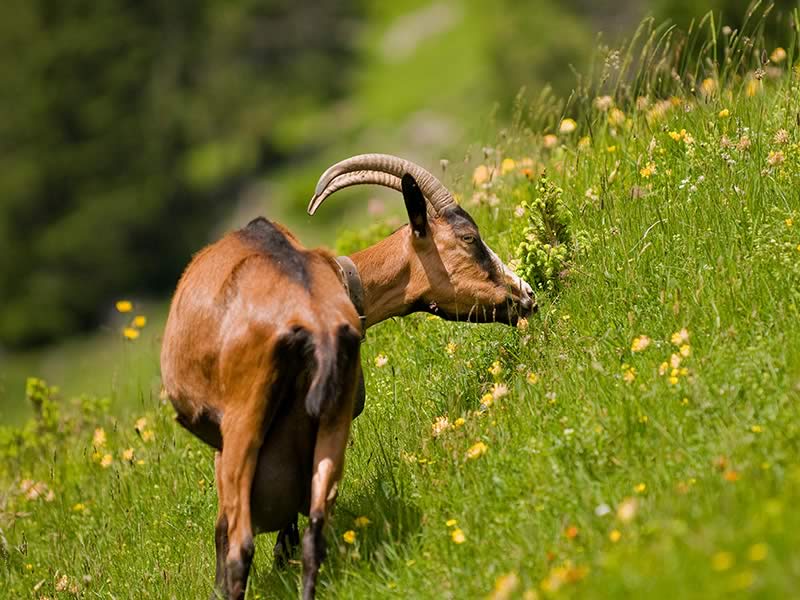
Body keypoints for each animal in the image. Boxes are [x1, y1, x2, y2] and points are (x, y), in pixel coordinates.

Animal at [159, 155, 536, 600]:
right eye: (469, 238)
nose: (526, 295)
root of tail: (313, 318)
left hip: (243, 426)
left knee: (239, 549)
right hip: (332, 421)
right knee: (314, 534)